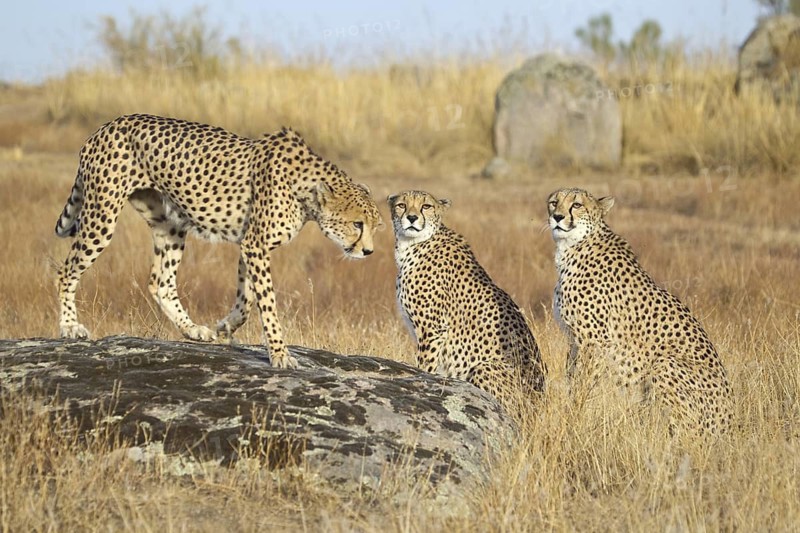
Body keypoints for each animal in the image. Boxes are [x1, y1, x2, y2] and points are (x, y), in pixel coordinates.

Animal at [54, 113, 382, 369]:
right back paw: (69, 326)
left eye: (376, 226)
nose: (368, 251)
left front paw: (225, 328)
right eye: (357, 224)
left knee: (161, 282)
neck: (306, 191)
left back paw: (193, 330)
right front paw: (279, 353)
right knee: (65, 271)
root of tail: (107, 125)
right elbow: (268, 303)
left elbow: (247, 299)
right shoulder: (255, 245)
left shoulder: (251, 246)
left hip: (170, 224)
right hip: (102, 215)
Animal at [389, 190, 546, 418]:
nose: (411, 218)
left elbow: (424, 366)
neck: (414, 244)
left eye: (426, 206)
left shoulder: (433, 329)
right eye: (401, 205)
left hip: (484, 368)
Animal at [547, 187, 733, 434]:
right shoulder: (575, 341)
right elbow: (571, 377)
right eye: (553, 202)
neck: (574, 245)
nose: (557, 217)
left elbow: (582, 384)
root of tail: (731, 422)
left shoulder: (593, 342)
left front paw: (574, 418)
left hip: (665, 364)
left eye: (576, 205)